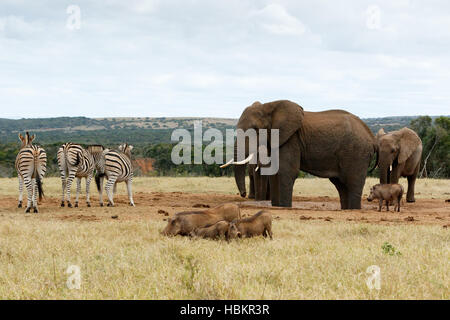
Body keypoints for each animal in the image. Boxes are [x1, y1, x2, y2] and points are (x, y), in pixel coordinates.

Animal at [223, 100, 378, 210]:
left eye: (255, 129)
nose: (243, 194)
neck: (269, 106)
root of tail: (372, 137)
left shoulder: (291, 139)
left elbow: (287, 171)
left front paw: (285, 207)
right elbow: (274, 172)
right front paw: (277, 207)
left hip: (357, 152)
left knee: (352, 182)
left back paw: (354, 209)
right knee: (341, 184)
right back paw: (346, 209)